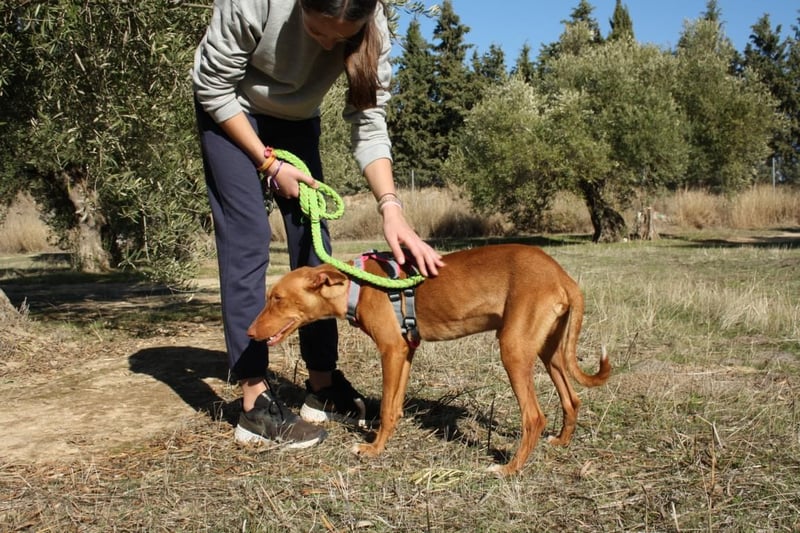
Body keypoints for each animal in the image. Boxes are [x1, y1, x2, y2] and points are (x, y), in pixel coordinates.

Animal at [247, 243, 610, 475]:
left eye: (276, 298)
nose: (249, 332)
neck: (358, 287)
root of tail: (562, 276)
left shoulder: (391, 350)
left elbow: (386, 408)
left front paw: (373, 450)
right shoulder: (406, 350)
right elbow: (394, 406)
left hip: (514, 350)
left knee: (534, 417)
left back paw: (509, 469)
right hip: (550, 351)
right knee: (572, 399)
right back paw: (561, 442)